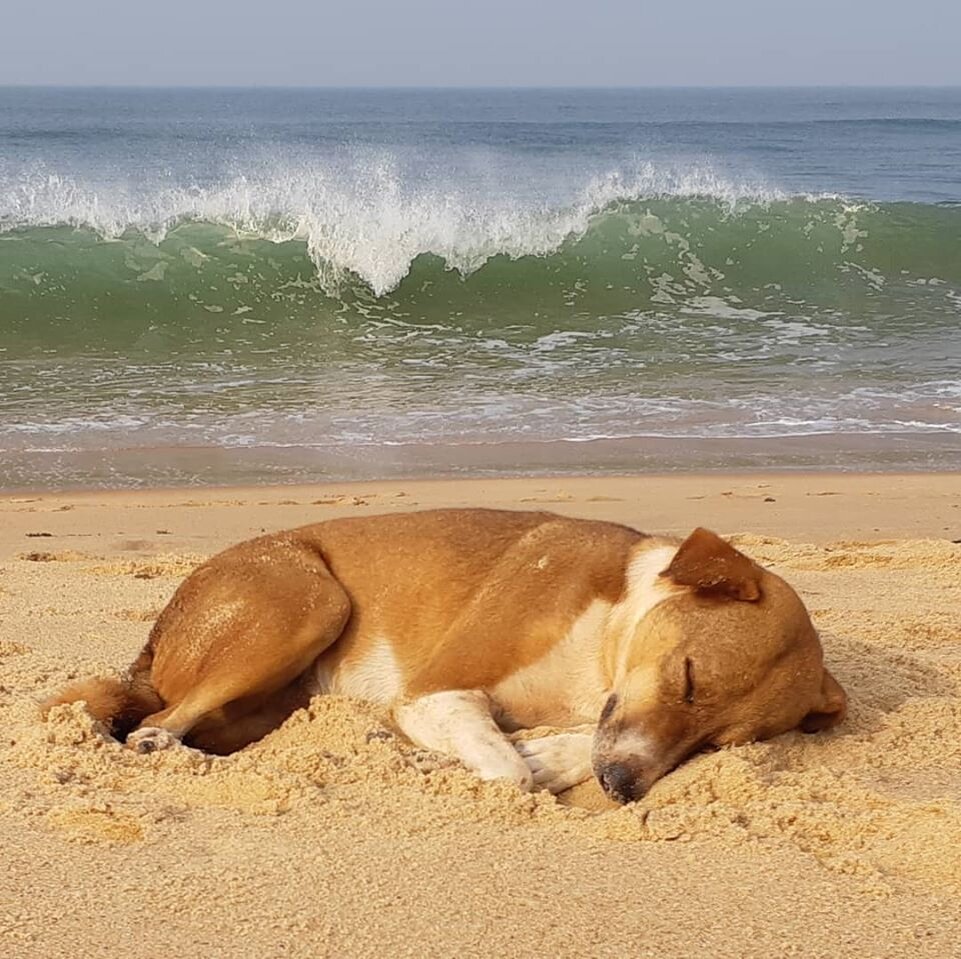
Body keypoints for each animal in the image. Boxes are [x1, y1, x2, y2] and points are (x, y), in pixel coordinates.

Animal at [45, 510, 844, 804]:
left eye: (718, 744)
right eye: (687, 678)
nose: (620, 788)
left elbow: (566, 742)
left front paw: (551, 755)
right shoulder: (435, 689)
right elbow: (507, 768)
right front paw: (504, 762)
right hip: (308, 602)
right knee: (160, 722)